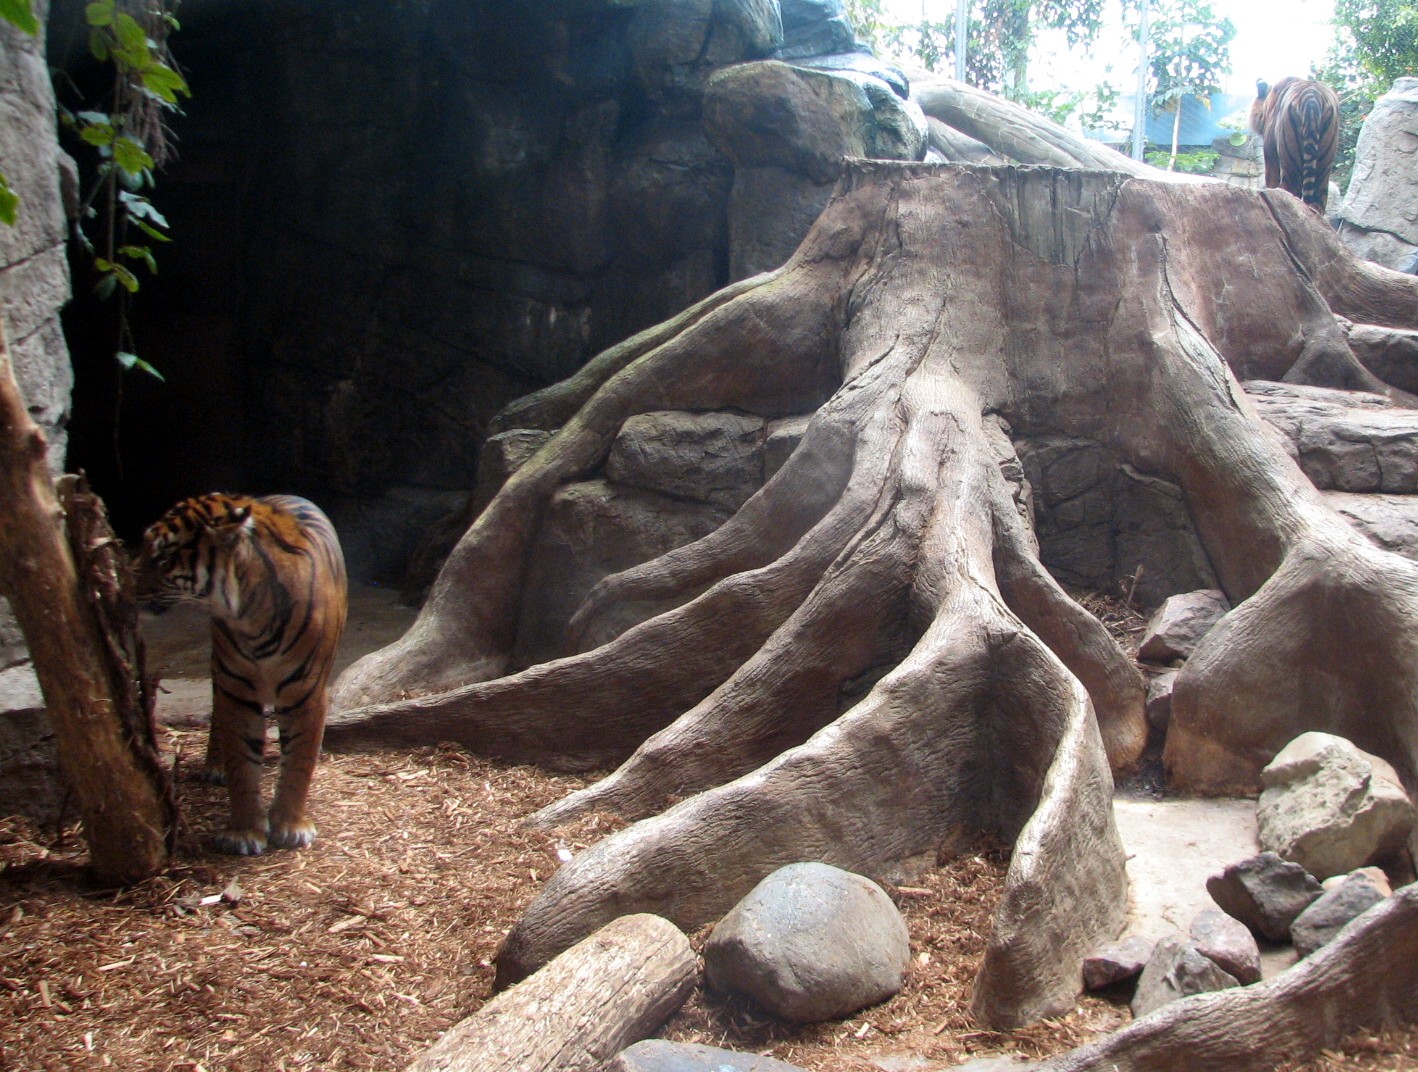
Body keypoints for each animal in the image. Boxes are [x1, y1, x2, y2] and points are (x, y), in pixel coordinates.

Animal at [137, 493, 348, 855]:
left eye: (163, 557)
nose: (126, 585)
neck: (251, 618)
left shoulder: (305, 693)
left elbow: (299, 761)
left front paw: (290, 826)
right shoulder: (236, 688)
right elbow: (241, 762)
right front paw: (244, 831)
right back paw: (214, 766)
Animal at [1249, 76, 1341, 215]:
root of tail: (1312, 98)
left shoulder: (1270, 156)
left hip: (1290, 160)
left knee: (1289, 192)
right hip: (1324, 164)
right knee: (1318, 201)